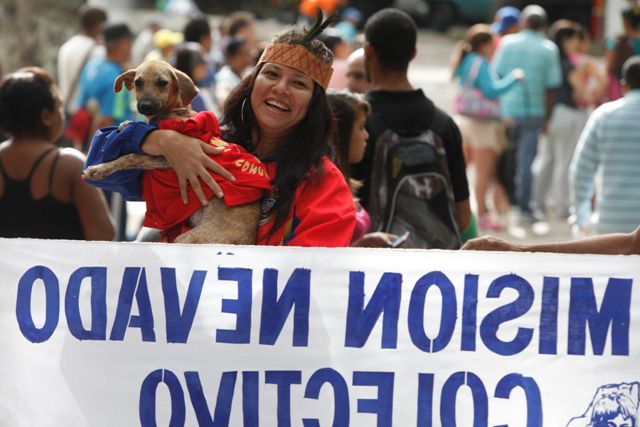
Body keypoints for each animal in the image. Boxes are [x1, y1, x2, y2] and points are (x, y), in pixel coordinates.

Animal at [82, 61, 262, 246]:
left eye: (163, 83)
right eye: (138, 82)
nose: (145, 106)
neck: (174, 112)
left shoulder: (169, 156)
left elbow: (130, 157)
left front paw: (98, 169)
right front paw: (126, 124)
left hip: (185, 238)